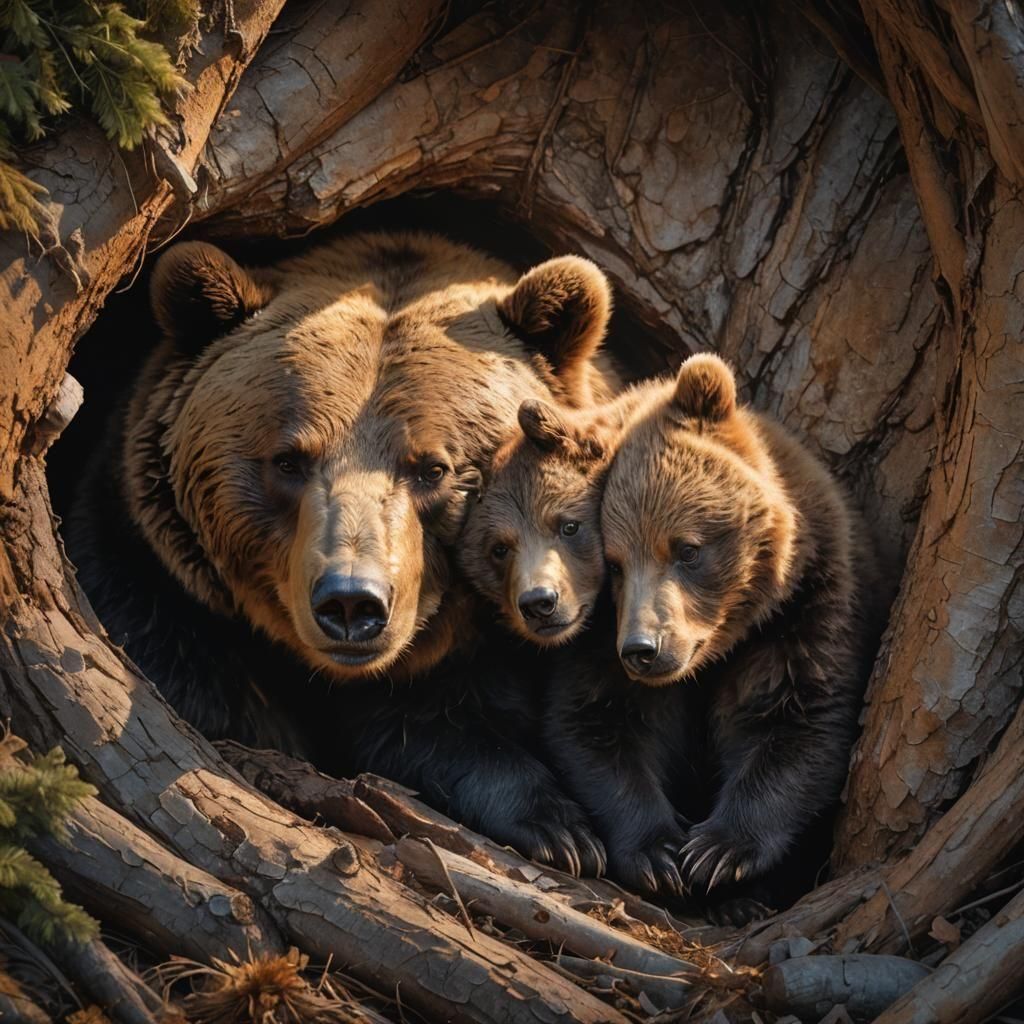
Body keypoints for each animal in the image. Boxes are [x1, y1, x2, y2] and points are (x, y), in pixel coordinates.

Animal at [66, 230, 617, 871]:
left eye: (433, 467)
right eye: (288, 460)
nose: (352, 602)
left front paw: (565, 834)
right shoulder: (146, 569)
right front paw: (563, 830)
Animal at [545, 353, 880, 919]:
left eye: (687, 549)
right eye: (614, 564)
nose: (643, 649)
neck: (717, 654)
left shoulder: (808, 609)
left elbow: (799, 722)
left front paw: (718, 854)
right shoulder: (596, 643)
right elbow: (597, 724)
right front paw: (659, 855)